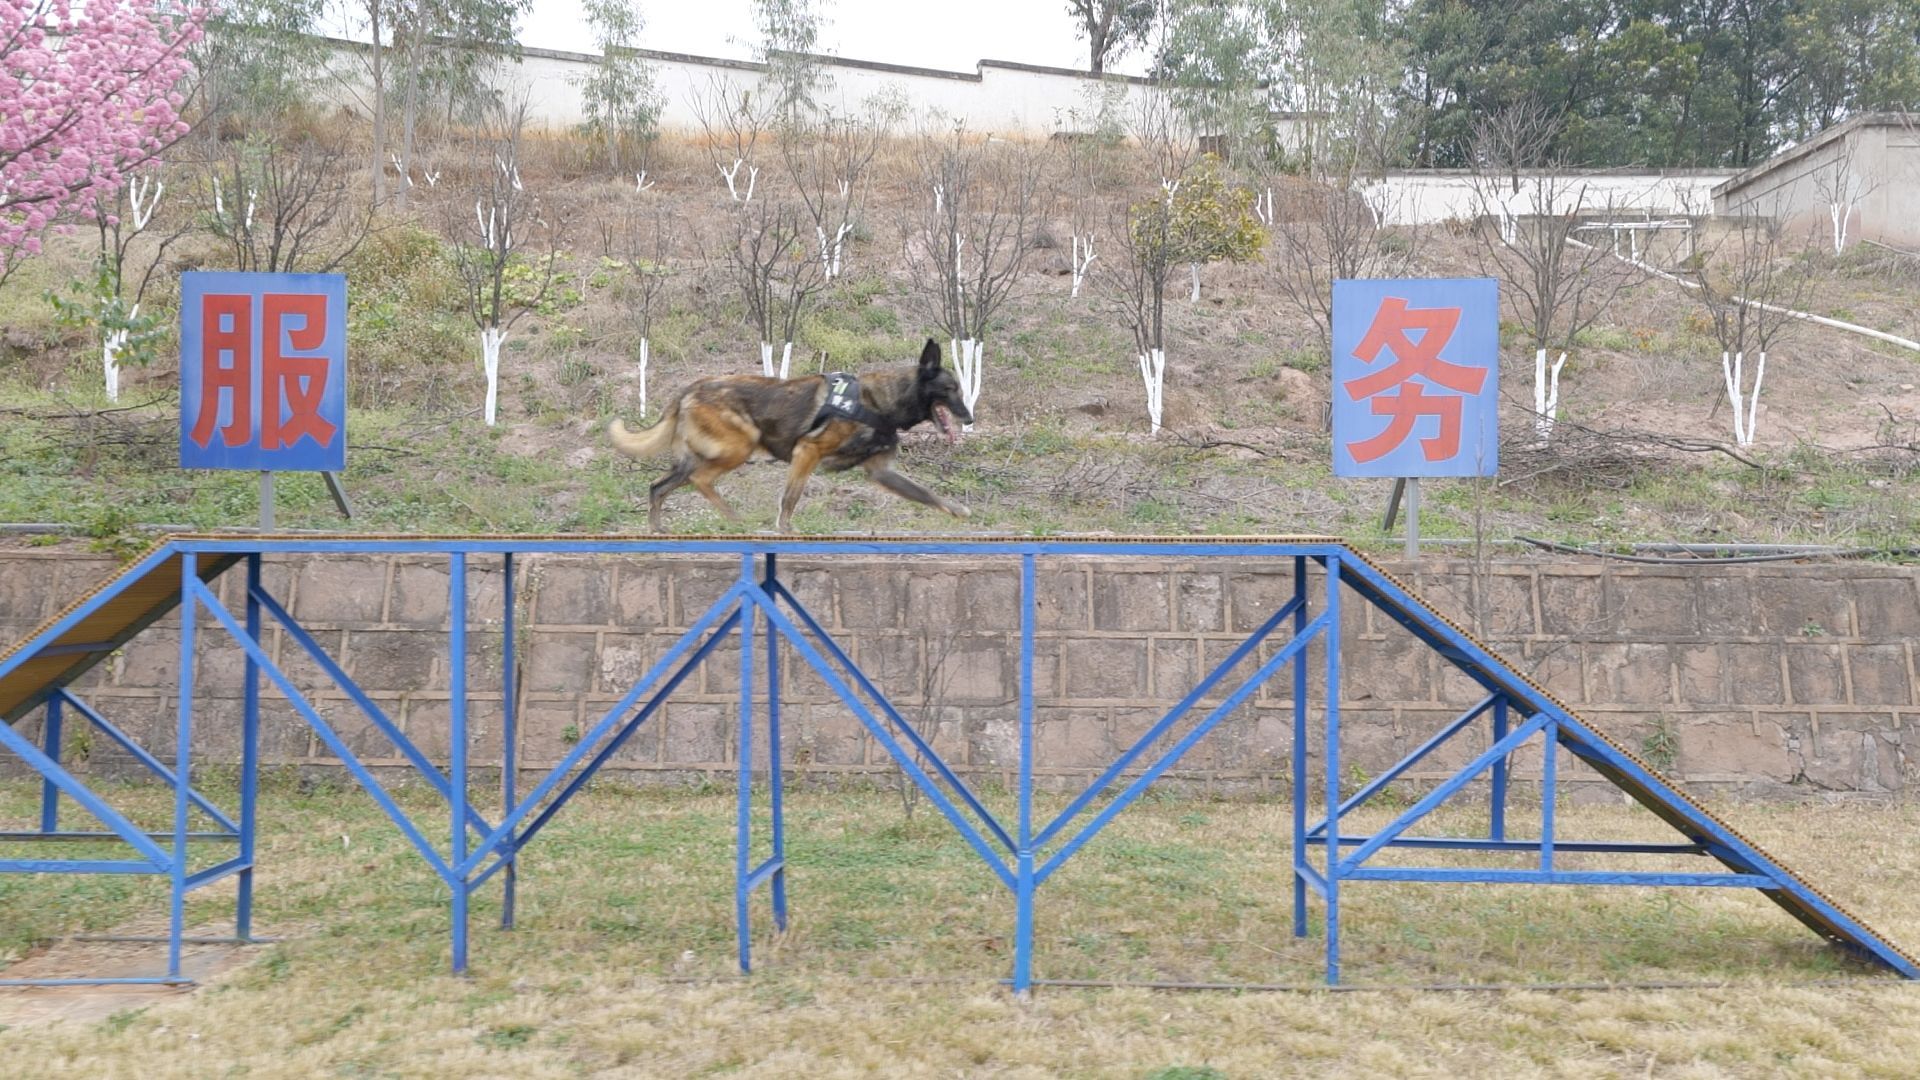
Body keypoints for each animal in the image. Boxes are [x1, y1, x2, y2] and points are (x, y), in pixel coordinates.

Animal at [606, 336, 975, 530]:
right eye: (950, 389)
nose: (970, 417)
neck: (880, 402)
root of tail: (689, 389)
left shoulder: (881, 472)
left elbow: (926, 494)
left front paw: (956, 510)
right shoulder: (807, 452)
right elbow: (789, 500)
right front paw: (785, 530)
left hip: (697, 459)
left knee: (658, 487)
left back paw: (659, 529)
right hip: (739, 446)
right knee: (701, 480)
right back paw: (737, 520)